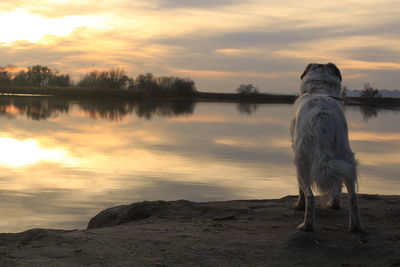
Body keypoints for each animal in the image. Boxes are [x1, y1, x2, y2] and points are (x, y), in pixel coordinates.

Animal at [290, 62, 362, 232]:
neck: (319, 89)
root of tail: (322, 119)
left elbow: (300, 190)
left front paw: (298, 206)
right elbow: (336, 185)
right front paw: (334, 205)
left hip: (301, 162)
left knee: (309, 196)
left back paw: (306, 225)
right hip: (345, 159)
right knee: (352, 197)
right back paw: (355, 227)